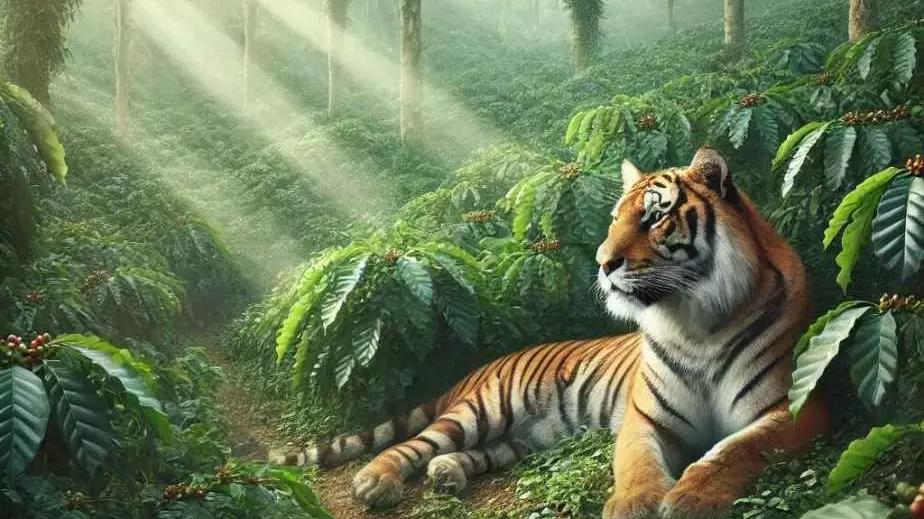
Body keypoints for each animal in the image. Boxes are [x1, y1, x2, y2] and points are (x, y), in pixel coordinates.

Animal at [271, 147, 828, 519]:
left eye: (655, 217)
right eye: (615, 218)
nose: (602, 262)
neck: (695, 322)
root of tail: (478, 370)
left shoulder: (794, 407)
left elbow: (736, 450)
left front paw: (693, 499)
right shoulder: (645, 418)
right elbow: (637, 465)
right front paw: (636, 506)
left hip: (525, 439)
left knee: (476, 453)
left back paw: (447, 473)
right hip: (483, 410)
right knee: (410, 444)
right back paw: (374, 481)